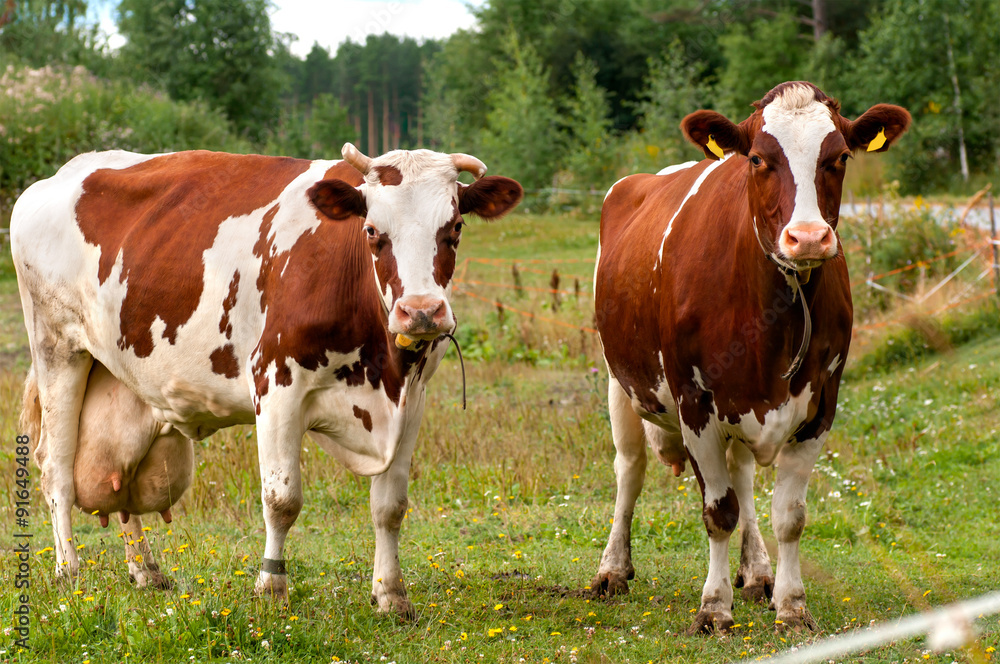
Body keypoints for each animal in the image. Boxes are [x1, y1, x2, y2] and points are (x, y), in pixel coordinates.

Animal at [13, 143, 524, 616]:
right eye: (373, 231)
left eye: (454, 228)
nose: (420, 312)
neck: (383, 372)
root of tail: (59, 175)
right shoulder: (276, 383)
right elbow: (282, 499)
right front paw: (271, 586)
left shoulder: (412, 399)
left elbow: (390, 506)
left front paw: (391, 595)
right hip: (57, 348)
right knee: (55, 467)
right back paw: (69, 573)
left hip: (118, 374)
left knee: (117, 471)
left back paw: (145, 570)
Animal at [588, 81, 912, 632]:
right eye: (758, 159)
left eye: (840, 157)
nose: (808, 238)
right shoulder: (693, 401)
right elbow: (718, 512)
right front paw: (714, 607)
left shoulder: (821, 404)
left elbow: (789, 515)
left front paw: (791, 603)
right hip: (619, 379)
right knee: (629, 470)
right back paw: (613, 569)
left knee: (740, 475)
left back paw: (757, 572)